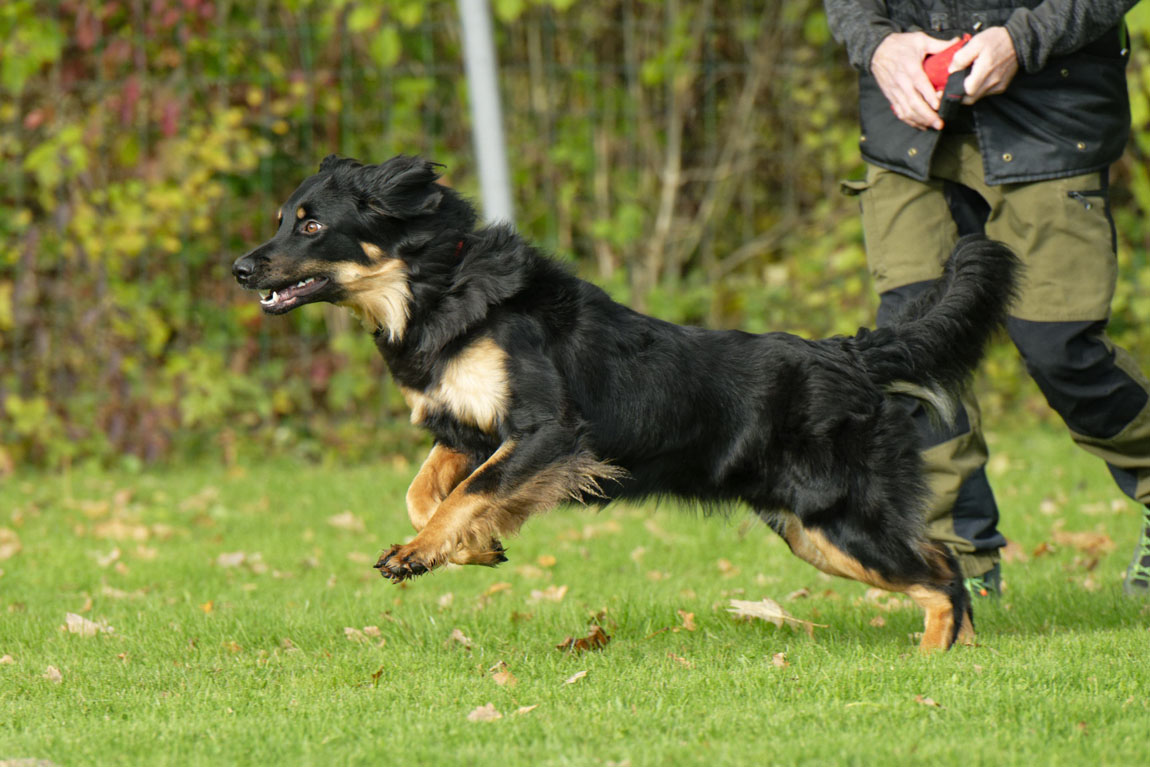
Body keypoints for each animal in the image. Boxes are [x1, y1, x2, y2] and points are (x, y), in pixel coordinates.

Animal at [231, 152, 1016, 653]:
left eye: (310, 225)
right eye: (282, 218)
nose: (239, 267)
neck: (439, 286)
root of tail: (849, 352)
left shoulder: (549, 432)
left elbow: (466, 494)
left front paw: (423, 553)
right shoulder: (468, 431)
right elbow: (427, 493)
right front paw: (475, 547)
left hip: (841, 519)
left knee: (943, 579)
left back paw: (930, 664)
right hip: (815, 532)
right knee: (943, 567)